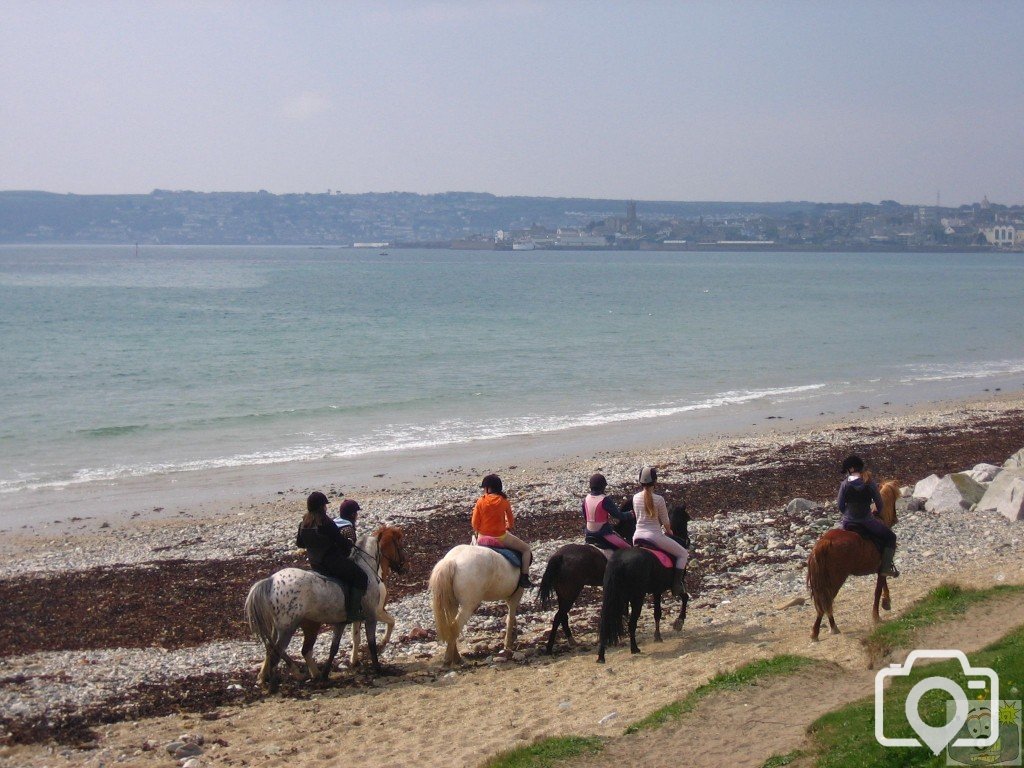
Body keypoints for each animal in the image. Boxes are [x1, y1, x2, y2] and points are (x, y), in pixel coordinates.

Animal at [244, 528, 391, 692]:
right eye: (381, 551)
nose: (381, 576)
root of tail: (271, 580)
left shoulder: (341, 623)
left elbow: (334, 648)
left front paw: (325, 674)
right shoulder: (371, 617)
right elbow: (371, 643)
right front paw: (378, 668)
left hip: (279, 629)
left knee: (272, 650)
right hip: (287, 628)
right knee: (277, 653)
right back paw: (275, 685)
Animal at [540, 512, 634, 655]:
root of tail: (560, 556)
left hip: (562, 594)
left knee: (563, 616)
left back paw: (571, 641)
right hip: (571, 594)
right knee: (558, 616)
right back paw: (550, 648)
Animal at [598, 507, 692, 663]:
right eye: (687, 517)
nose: (688, 541)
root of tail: (619, 560)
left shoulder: (657, 590)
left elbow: (657, 613)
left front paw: (658, 636)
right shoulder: (675, 585)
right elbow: (684, 598)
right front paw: (679, 622)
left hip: (615, 596)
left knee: (605, 622)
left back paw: (601, 656)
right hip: (637, 597)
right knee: (631, 623)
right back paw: (634, 648)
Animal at [806, 481, 897, 643]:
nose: (895, 519)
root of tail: (824, 542)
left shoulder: (881, 568)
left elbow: (883, 584)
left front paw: (886, 603)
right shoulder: (882, 568)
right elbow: (878, 591)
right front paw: (876, 616)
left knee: (825, 603)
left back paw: (827, 629)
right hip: (835, 580)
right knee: (826, 602)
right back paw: (822, 631)